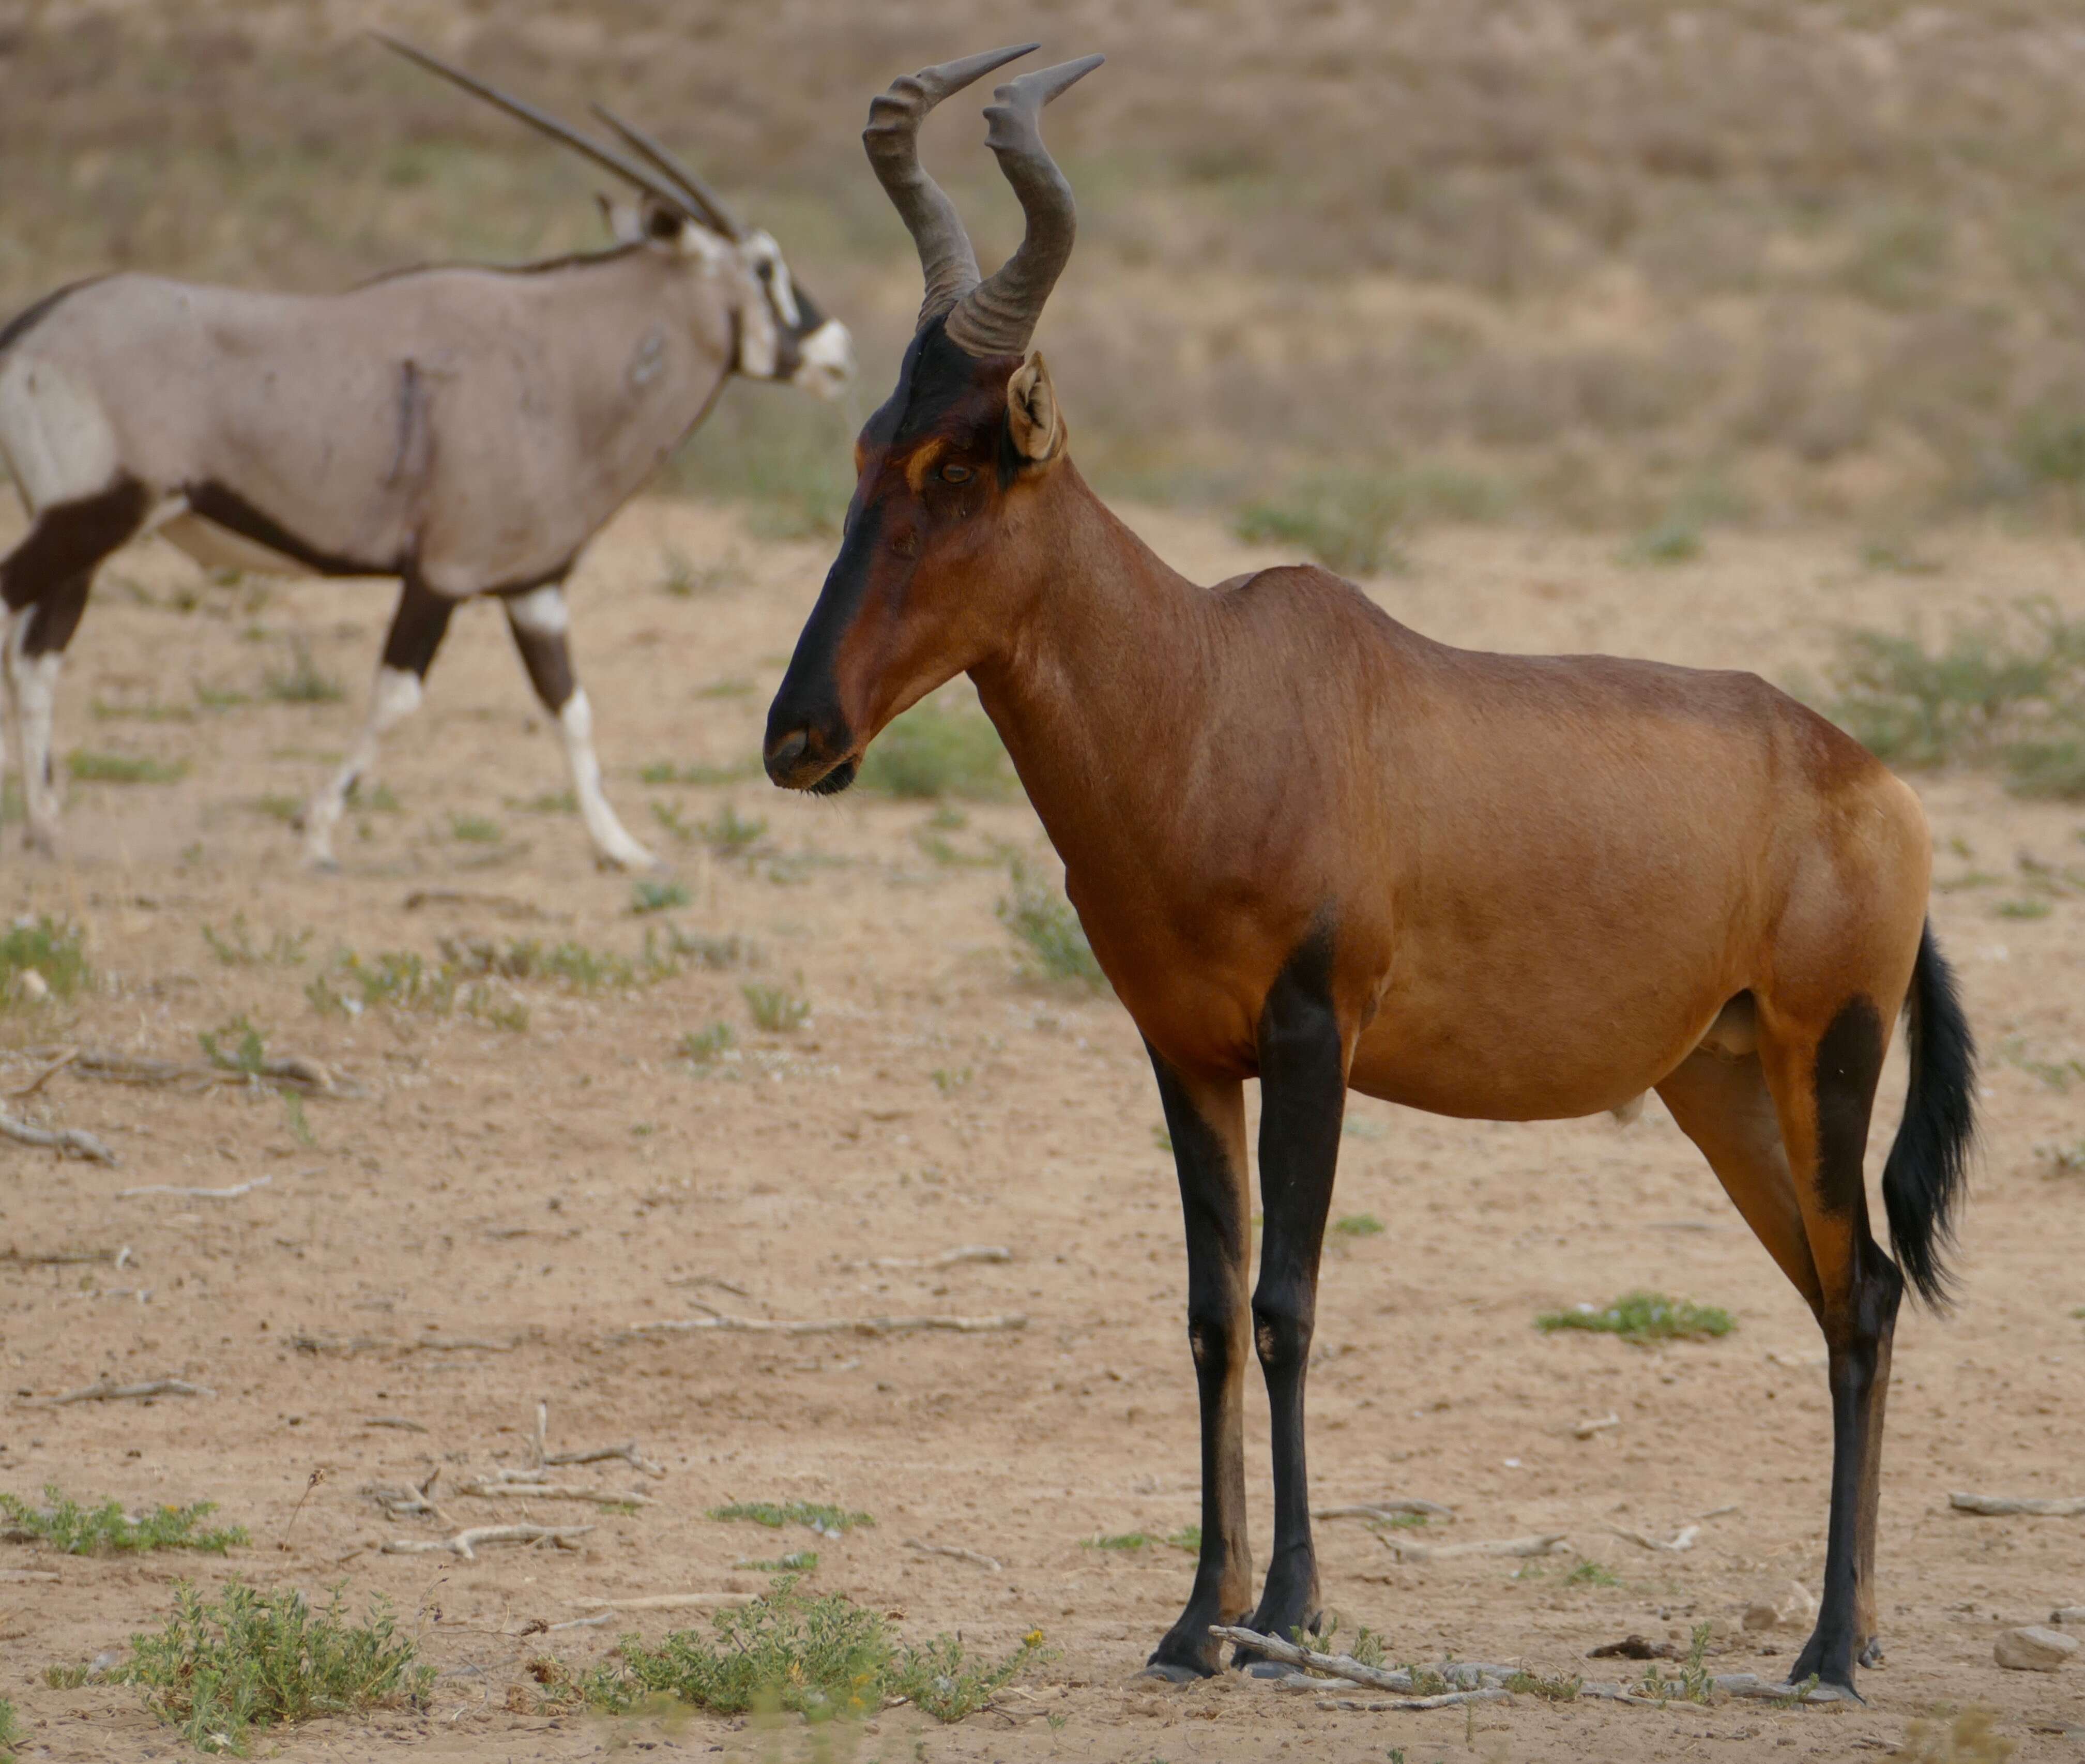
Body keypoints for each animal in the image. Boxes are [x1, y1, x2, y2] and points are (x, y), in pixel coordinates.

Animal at [767, 41, 1968, 1701]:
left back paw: (1834, 1647)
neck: (1215, 685)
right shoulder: (1183, 1052)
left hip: (1828, 1053)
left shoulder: (1311, 1035)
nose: (800, 734)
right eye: (870, 444)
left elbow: (1288, 1304)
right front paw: (1191, 1621)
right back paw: (1848, 1626)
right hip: (1720, 1081)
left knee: (1861, 1291)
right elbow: (1209, 1314)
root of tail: (1871, 781)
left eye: (966, 463)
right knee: (1840, 1289)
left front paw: (1286, 1614)